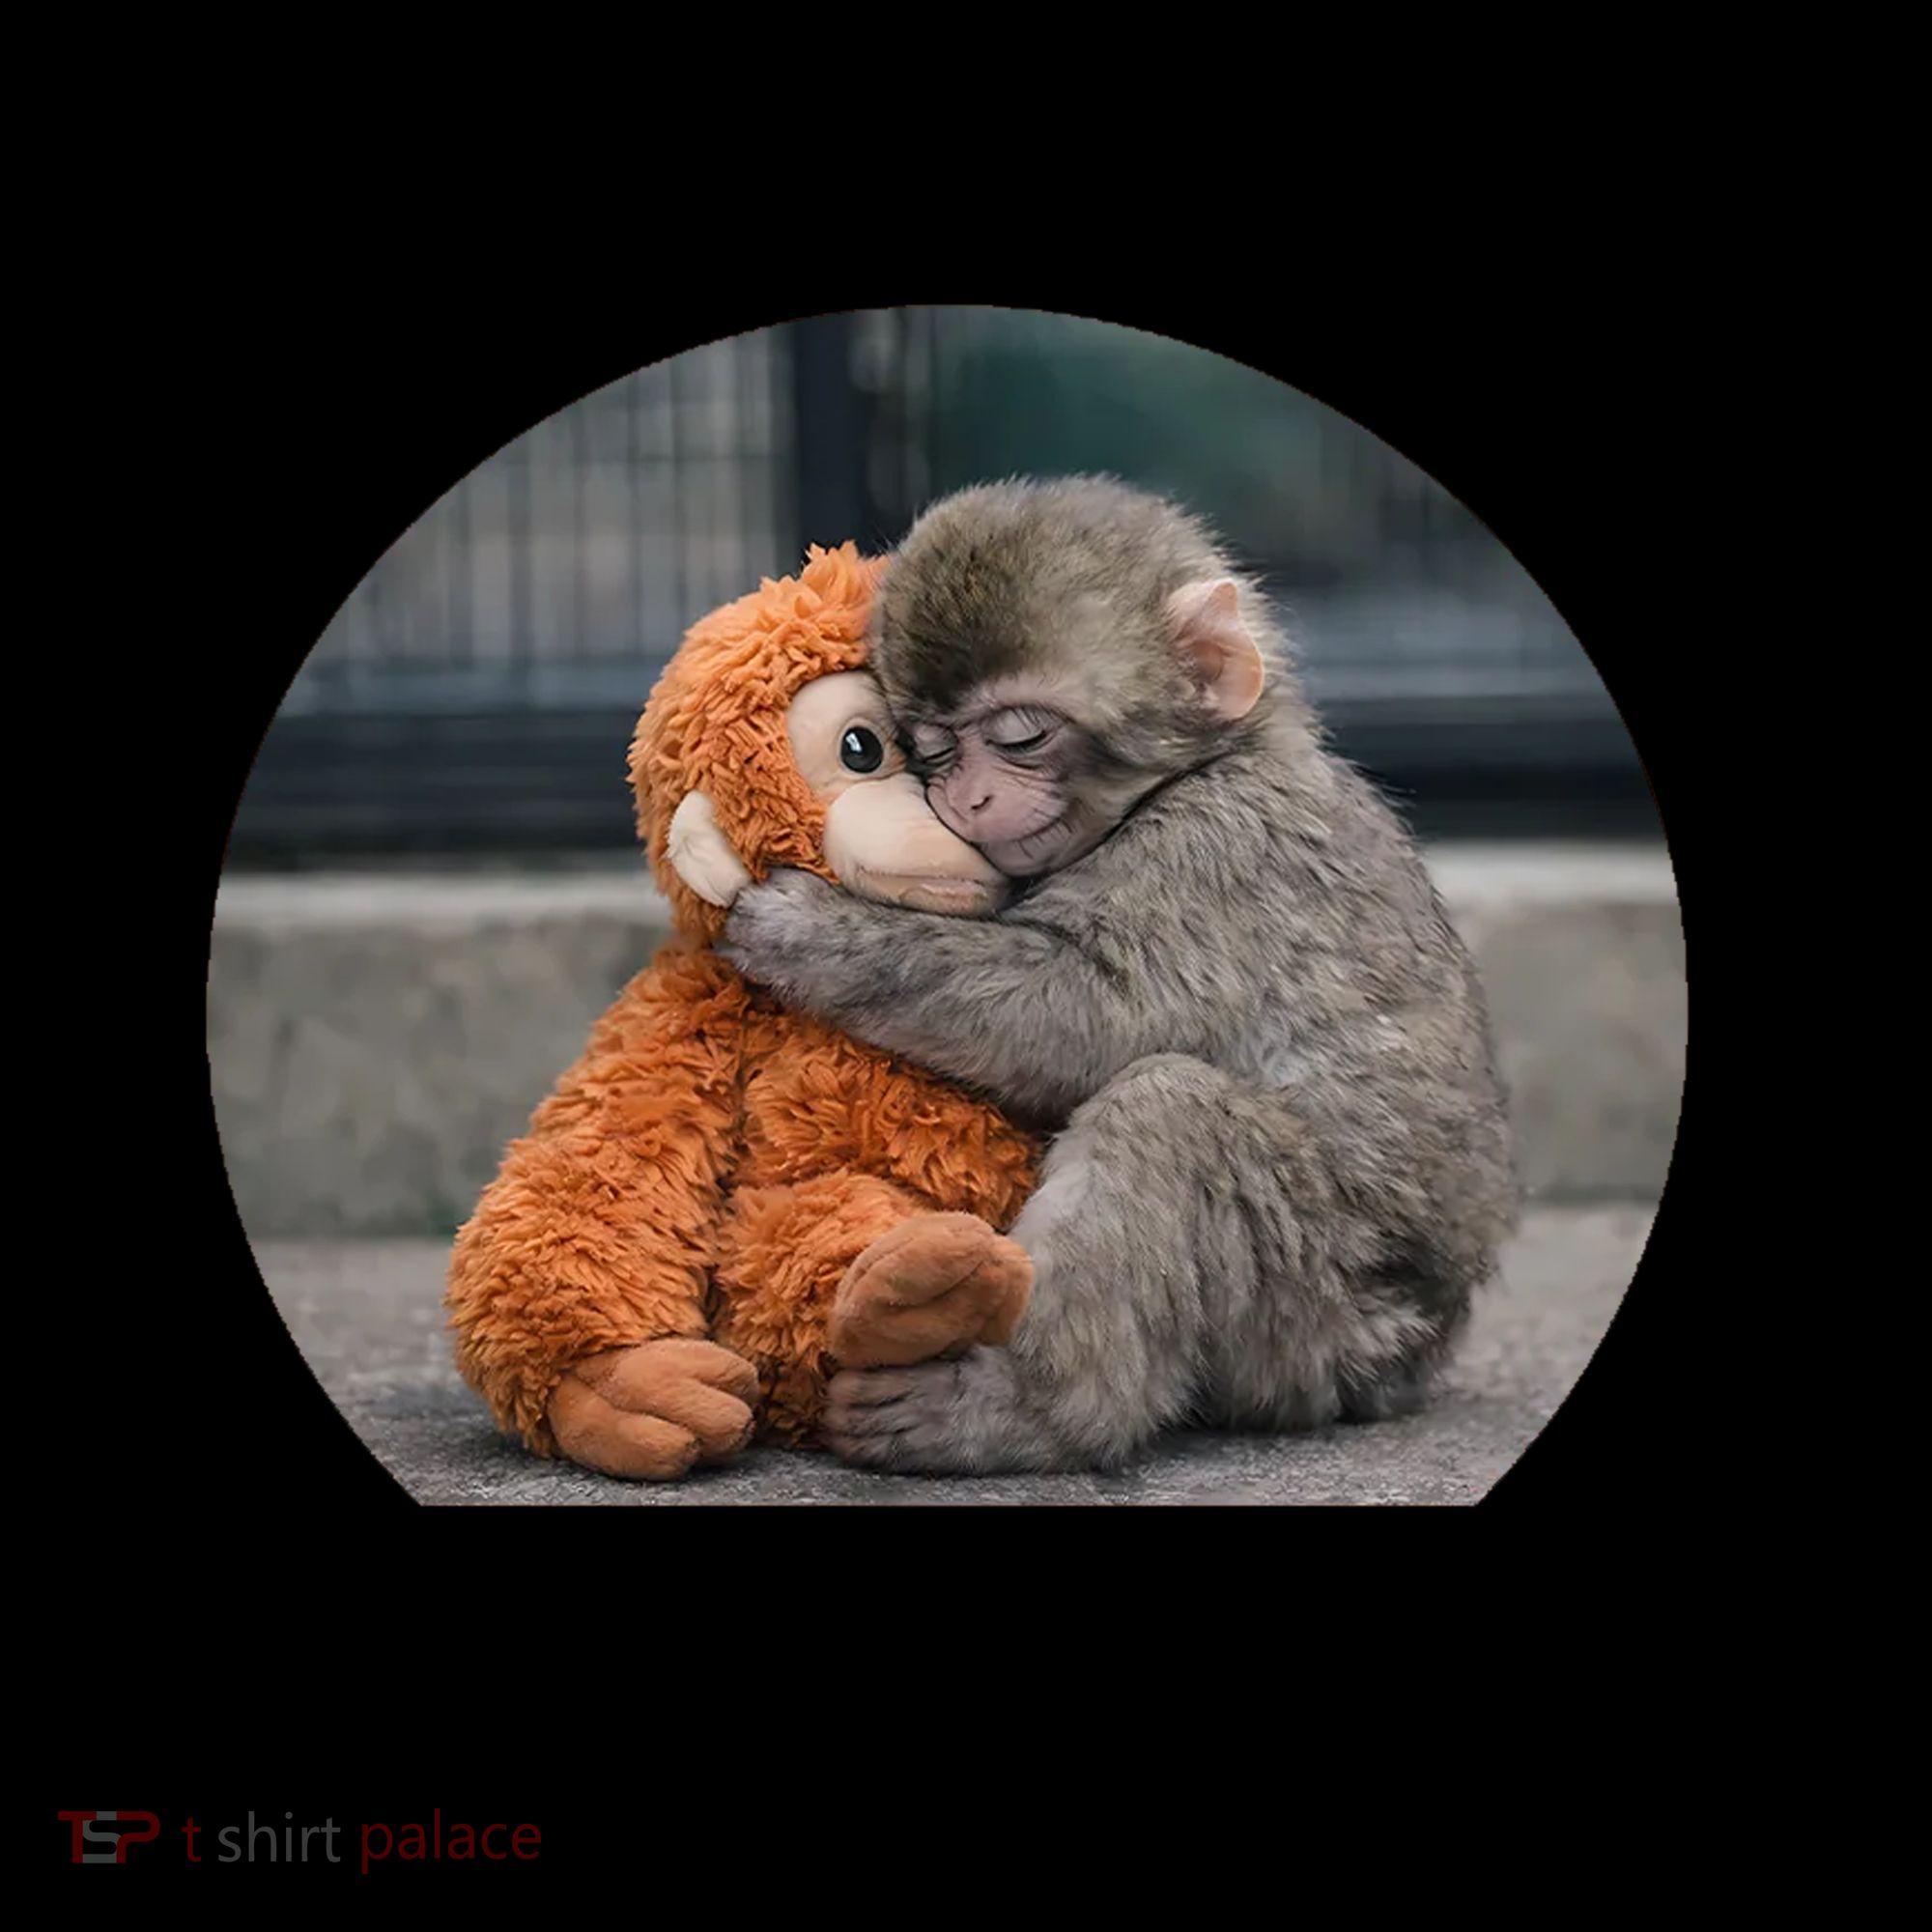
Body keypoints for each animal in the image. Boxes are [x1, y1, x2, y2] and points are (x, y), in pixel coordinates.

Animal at [722, 477, 1521, 1475]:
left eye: (1021, 736)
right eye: (932, 748)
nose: (966, 798)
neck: (1203, 769)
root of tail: (1413, 1360)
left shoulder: (1213, 856)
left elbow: (1089, 1015)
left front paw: (807, 930)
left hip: (1324, 1322)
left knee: (1169, 1112)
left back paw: (1028, 1410)